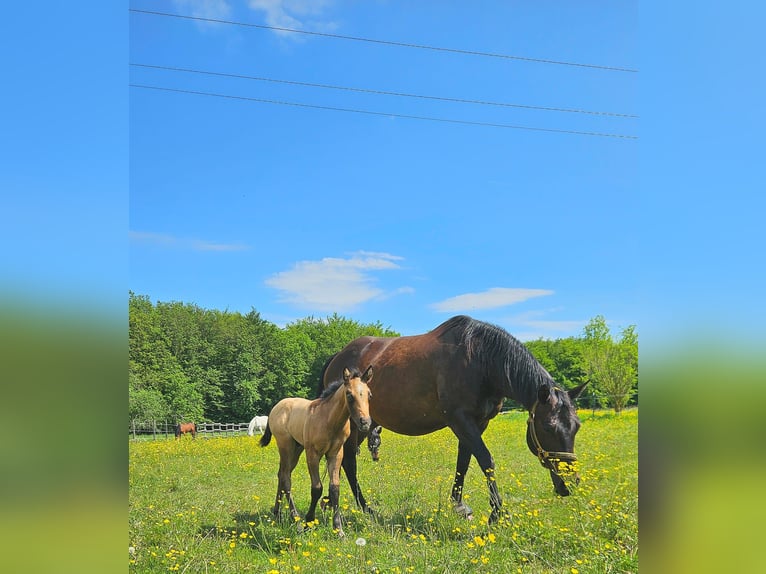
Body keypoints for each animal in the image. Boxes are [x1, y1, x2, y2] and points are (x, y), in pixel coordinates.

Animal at [260, 366, 376, 536]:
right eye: (349, 394)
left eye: (369, 394)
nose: (365, 422)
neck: (329, 420)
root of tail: (276, 407)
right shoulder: (313, 454)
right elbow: (317, 488)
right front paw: (308, 522)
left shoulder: (336, 453)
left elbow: (334, 488)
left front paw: (338, 529)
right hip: (285, 446)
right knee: (286, 478)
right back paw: (297, 521)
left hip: (296, 448)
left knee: (281, 474)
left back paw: (277, 513)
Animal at [318, 318, 588, 524]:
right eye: (548, 427)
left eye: (576, 427)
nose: (570, 484)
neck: (480, 360)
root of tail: (337, 357)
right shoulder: (460, 419)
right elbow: (485, 460)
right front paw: (497, 513)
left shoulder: (478, 423)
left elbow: (464, 462)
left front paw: (458, 505)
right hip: (355, 425)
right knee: (349, 462)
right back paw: (365, 508)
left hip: (365, 424)